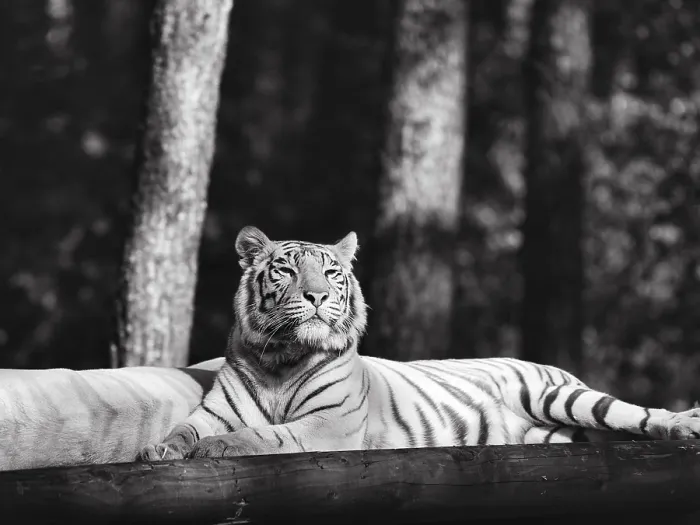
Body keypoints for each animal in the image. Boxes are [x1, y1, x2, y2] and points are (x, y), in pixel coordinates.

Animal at [140, 226, 700, 462]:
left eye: (331, 272)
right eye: (286, 270)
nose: (317, 296)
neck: (280, 357)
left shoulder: (329, 423)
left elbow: (266, 436)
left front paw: (218, 448)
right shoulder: (215, 411)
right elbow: (185, 429)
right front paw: (159, 449)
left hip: (560, 394)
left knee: (639, 414)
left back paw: (684, 426)